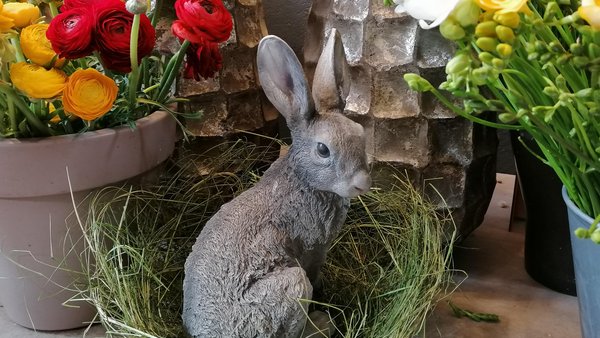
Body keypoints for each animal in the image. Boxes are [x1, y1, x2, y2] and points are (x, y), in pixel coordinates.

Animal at [183, 29, 370, 338]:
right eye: (323, 150)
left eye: (361, 134)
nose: (362, 183)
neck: (305, 182)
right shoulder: (313, 248)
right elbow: (314, 271)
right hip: (292, 286)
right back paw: (322, 323)